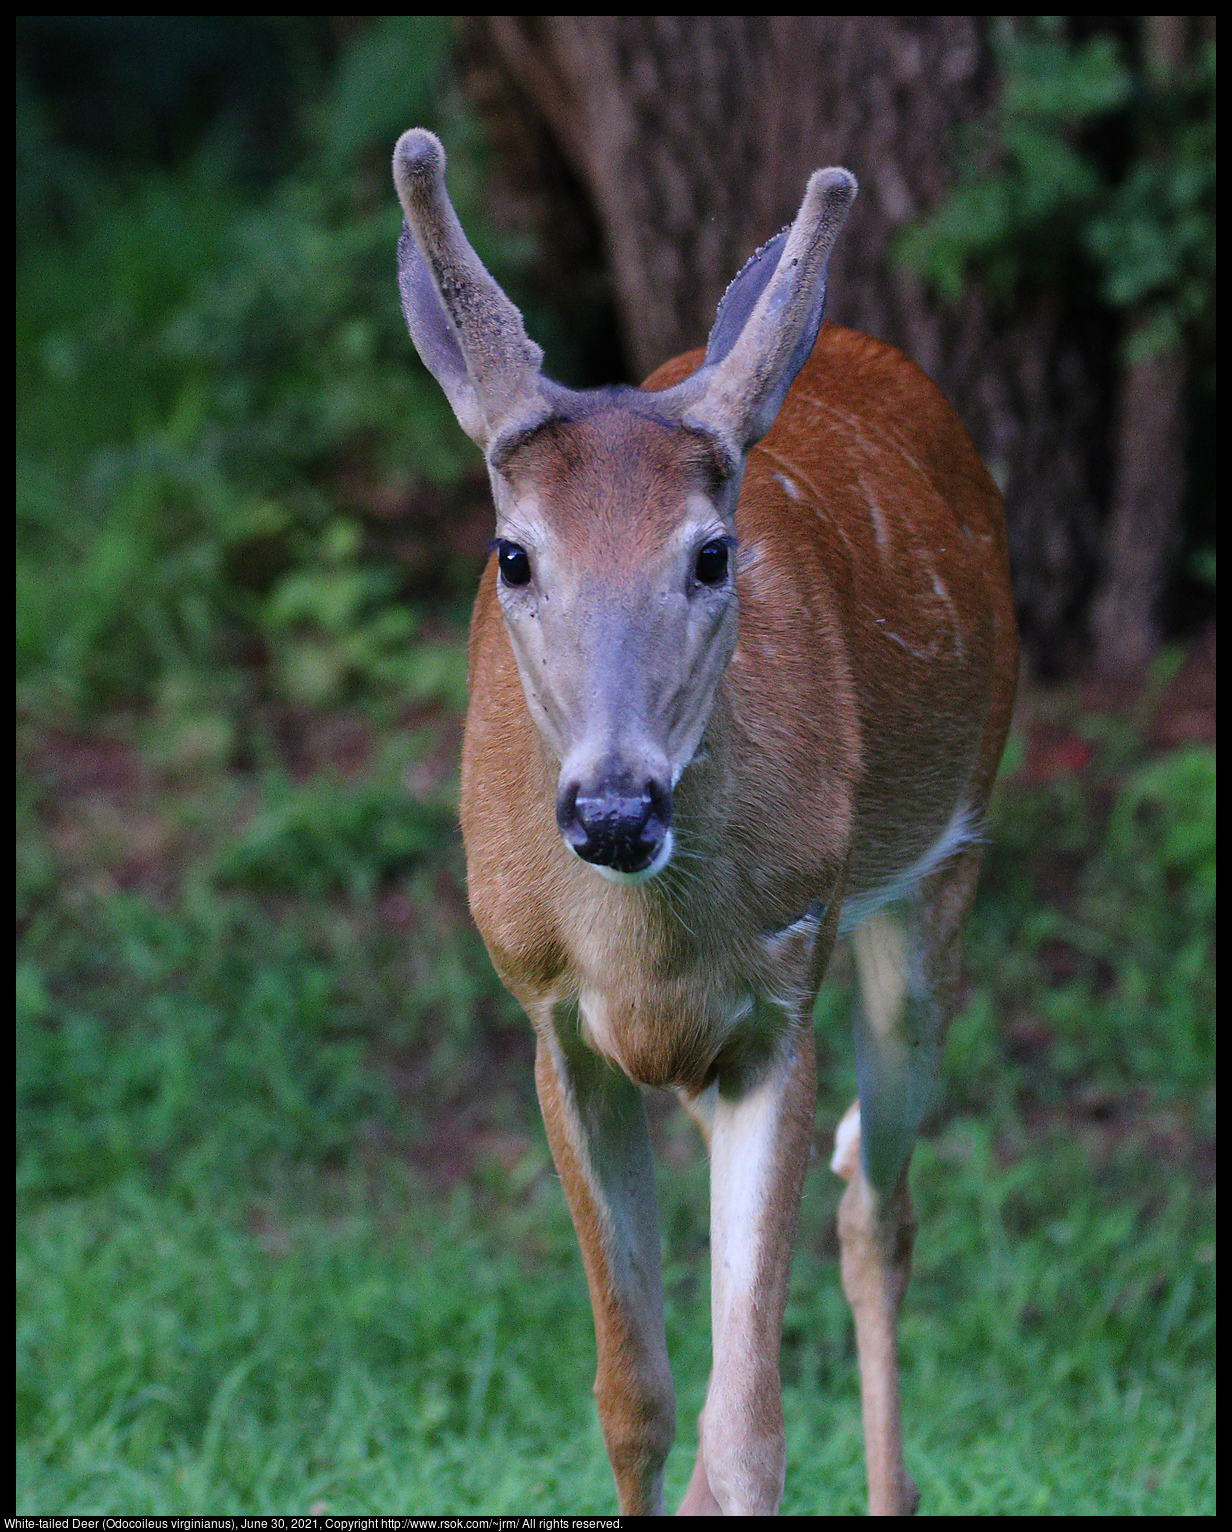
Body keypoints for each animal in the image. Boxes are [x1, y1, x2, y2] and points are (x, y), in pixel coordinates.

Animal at [395, 125, 1017, 1513]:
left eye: (711, 553)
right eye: (512, 553)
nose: (614, 808)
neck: (642, 943)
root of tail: (862, 346)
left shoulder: (783, 995)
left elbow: (744, 1436)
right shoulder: (550, 1015)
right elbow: (632, 1399)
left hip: (937, 879)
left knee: (876, 1204)